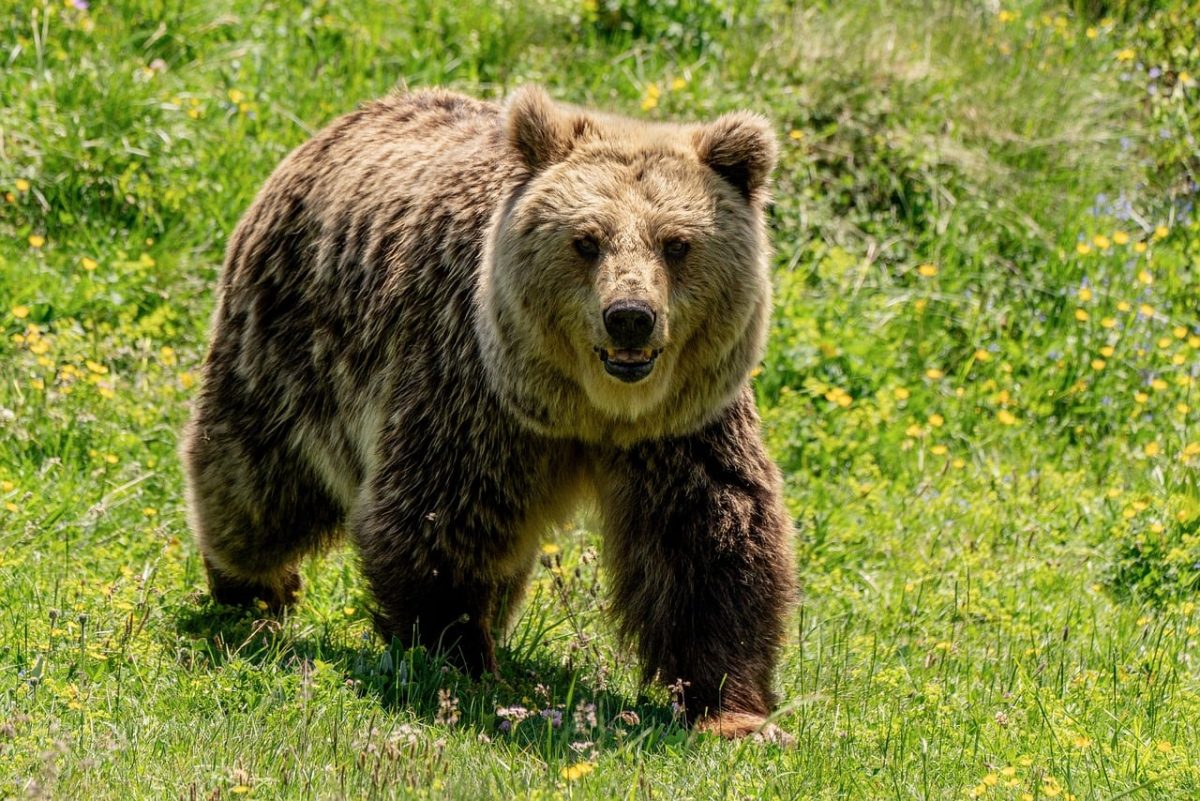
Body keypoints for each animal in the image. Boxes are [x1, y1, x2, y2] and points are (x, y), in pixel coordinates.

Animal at [181, 86, 795, 739]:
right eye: (587, 240)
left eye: (676, 243)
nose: (630, 316)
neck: (587, 410)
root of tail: (336, 126)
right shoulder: (473, 389)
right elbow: (439, 518)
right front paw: (457, 657)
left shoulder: (684, 422)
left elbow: (709, 538)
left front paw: (733, 711)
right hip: (287, 346)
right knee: (253, 480)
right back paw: (253, 587)